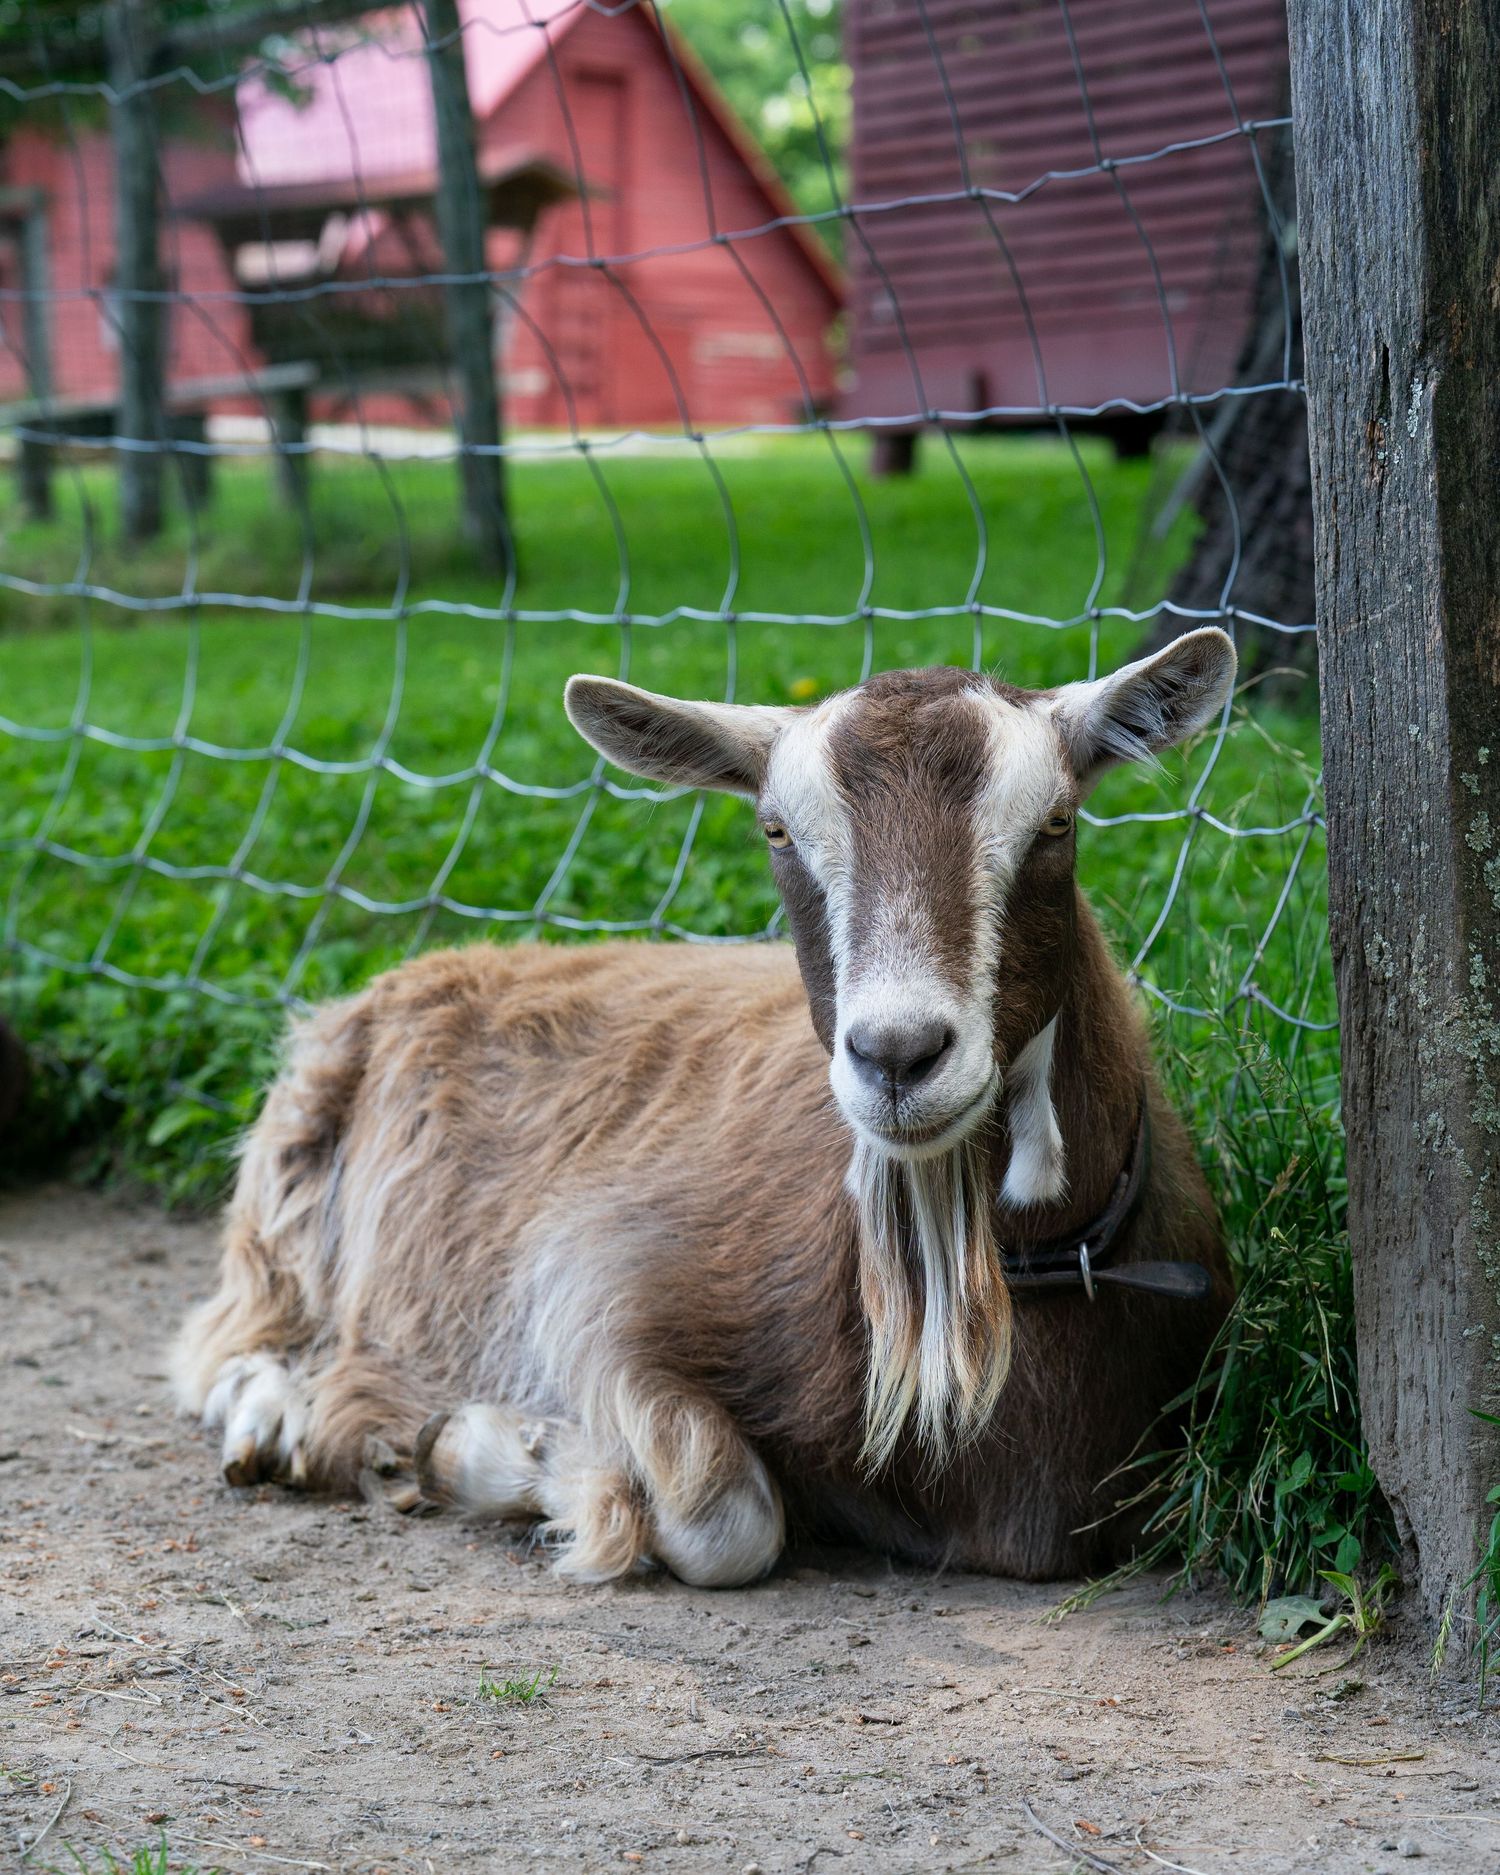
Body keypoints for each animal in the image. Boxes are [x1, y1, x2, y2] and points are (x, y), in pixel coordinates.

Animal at [173, 629, 1236, 1587]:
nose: (898, 1055)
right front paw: (470, 1444)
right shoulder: (597, 1278)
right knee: (225, 1335)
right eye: (776, 830)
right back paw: (273, 1416)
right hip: (290, 1173)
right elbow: (728, 1518)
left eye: (1056, 820)